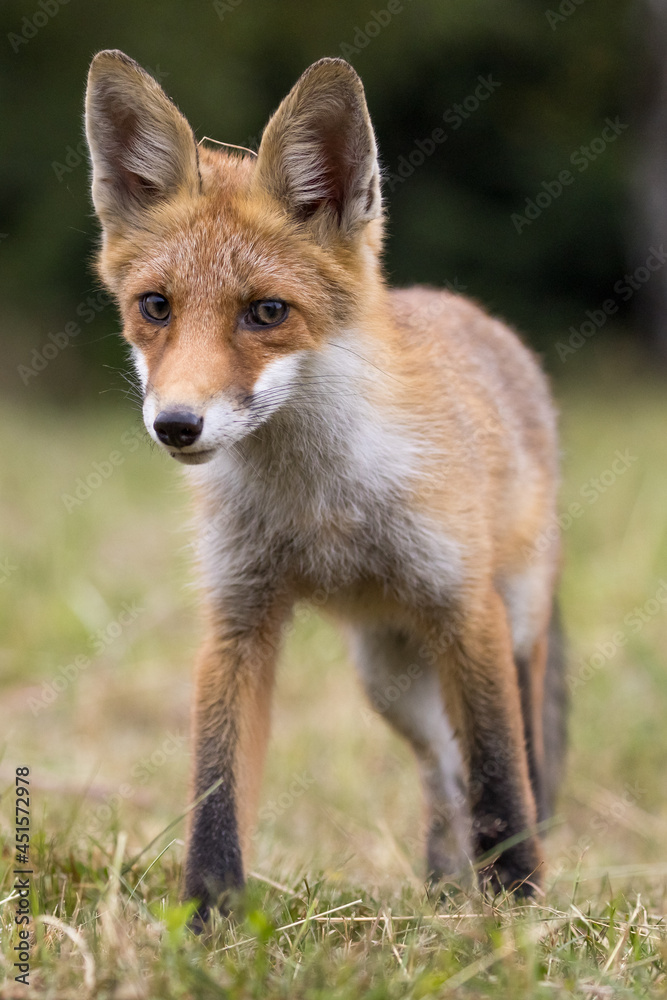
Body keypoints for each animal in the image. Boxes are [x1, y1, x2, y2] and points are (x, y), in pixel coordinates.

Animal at [84, 50, 567, 922]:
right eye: (155, 306)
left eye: (266, 312)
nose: (176, 425)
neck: (321, 508)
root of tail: (464, 308)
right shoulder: (238, 616)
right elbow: (216, 792)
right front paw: (206, 922)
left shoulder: (464, 606)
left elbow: (499, 781)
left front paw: (518, 915)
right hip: (389, 679)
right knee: (439, 776)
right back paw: (442, 891)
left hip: (511, 625)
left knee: (506, 769)